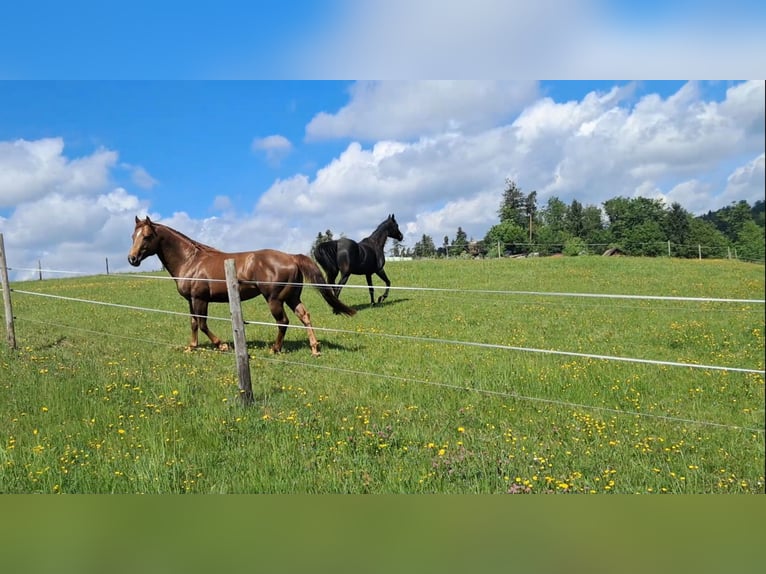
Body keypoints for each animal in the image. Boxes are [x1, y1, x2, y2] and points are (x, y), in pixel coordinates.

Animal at [127, 216, 355, 357]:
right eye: (133, 236)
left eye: (147, 236)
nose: (132, 259)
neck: (191, 261)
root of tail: (291, 257)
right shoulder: (191, 301)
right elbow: (193, 323)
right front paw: (191, 347)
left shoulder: (200, 299)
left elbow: (202, 324)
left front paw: (222, 345)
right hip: (291, 297)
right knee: (304, 316)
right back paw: (314, 349)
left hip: (274, 299)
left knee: (283, 322)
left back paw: (275, 349)